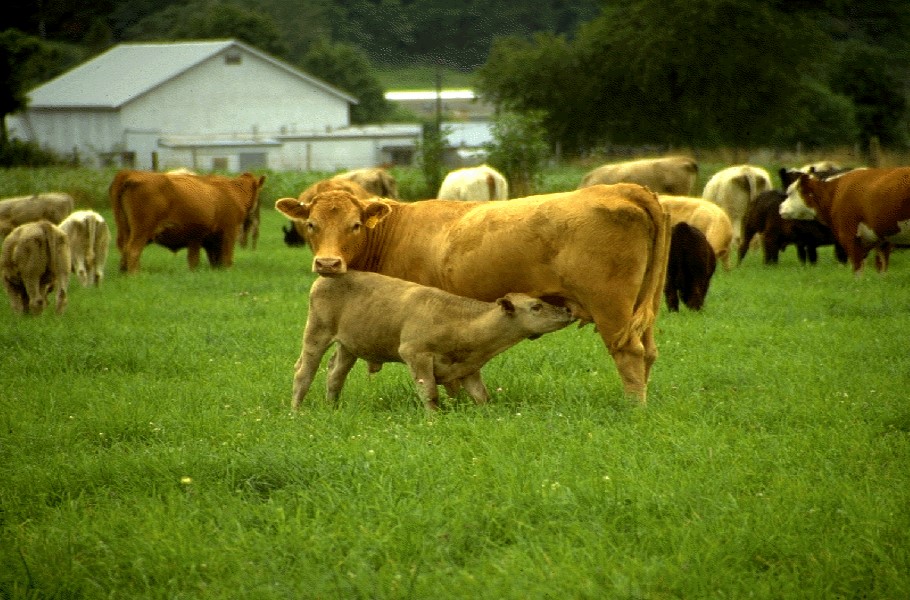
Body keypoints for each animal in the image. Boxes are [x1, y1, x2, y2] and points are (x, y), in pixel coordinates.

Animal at [110, 168, 266, 274]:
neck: (233, 191)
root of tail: (130, 173)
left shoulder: (202, 240)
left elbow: (205, 260)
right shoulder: (229, 232)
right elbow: (226, 257)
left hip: (126, 231)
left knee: (124, 250)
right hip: (141, 232)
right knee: (133, 250)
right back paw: (136, 275)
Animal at [292, 270, 576, 408]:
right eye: (536, 307)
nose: (567, 311)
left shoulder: (468, 368)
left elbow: (481, 396)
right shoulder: (415, 354)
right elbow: (429, 393)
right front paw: (433, 420)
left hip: (349, 345)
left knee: (335, 375)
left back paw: (332, 408)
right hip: (316, 334)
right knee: (303, 374)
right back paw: (296, 412)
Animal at [776, 166, 910, 274]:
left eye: (790, 193)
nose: (780, 208)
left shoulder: (849, 236)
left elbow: (856, 267)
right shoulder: (882, 240)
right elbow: (881, 268)